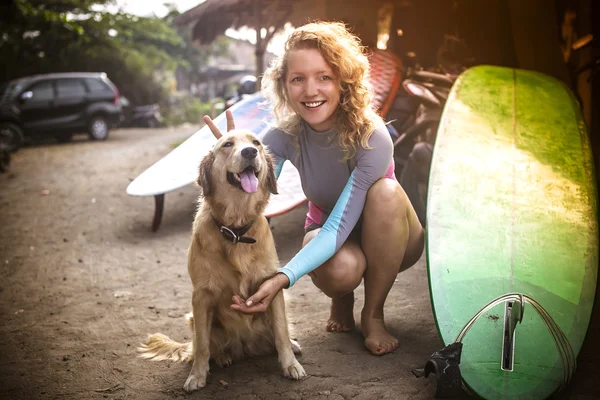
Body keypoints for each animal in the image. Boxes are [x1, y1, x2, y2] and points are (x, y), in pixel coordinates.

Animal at [139, 128, 308, 390]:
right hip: (192, 318)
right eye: (227, 144)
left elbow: (281, 331)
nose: (249, 152)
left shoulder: (272, 287)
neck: (235, 231)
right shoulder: (200, 296)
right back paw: (222, 357)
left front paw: (290, 364)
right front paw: (197, 376)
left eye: (256, 143)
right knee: (204, 345)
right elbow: (202, 345)